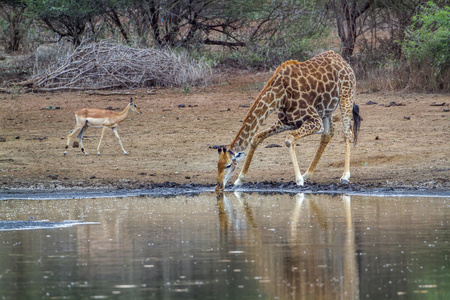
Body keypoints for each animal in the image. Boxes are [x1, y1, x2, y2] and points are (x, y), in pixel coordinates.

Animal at [215, 49, 362, 192]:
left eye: (228, 165)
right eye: (217, 165)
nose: (218, 186)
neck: (280, 95)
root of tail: (342, 59)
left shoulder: (315, 121)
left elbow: (289, 139)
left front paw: (298, 180)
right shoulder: (287, 122)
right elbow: (256, 137)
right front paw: (240, 179)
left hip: (346, 96)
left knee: (347, 132)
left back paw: (344, 176)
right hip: (326, 109)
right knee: (328, 133)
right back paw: (307, 174)